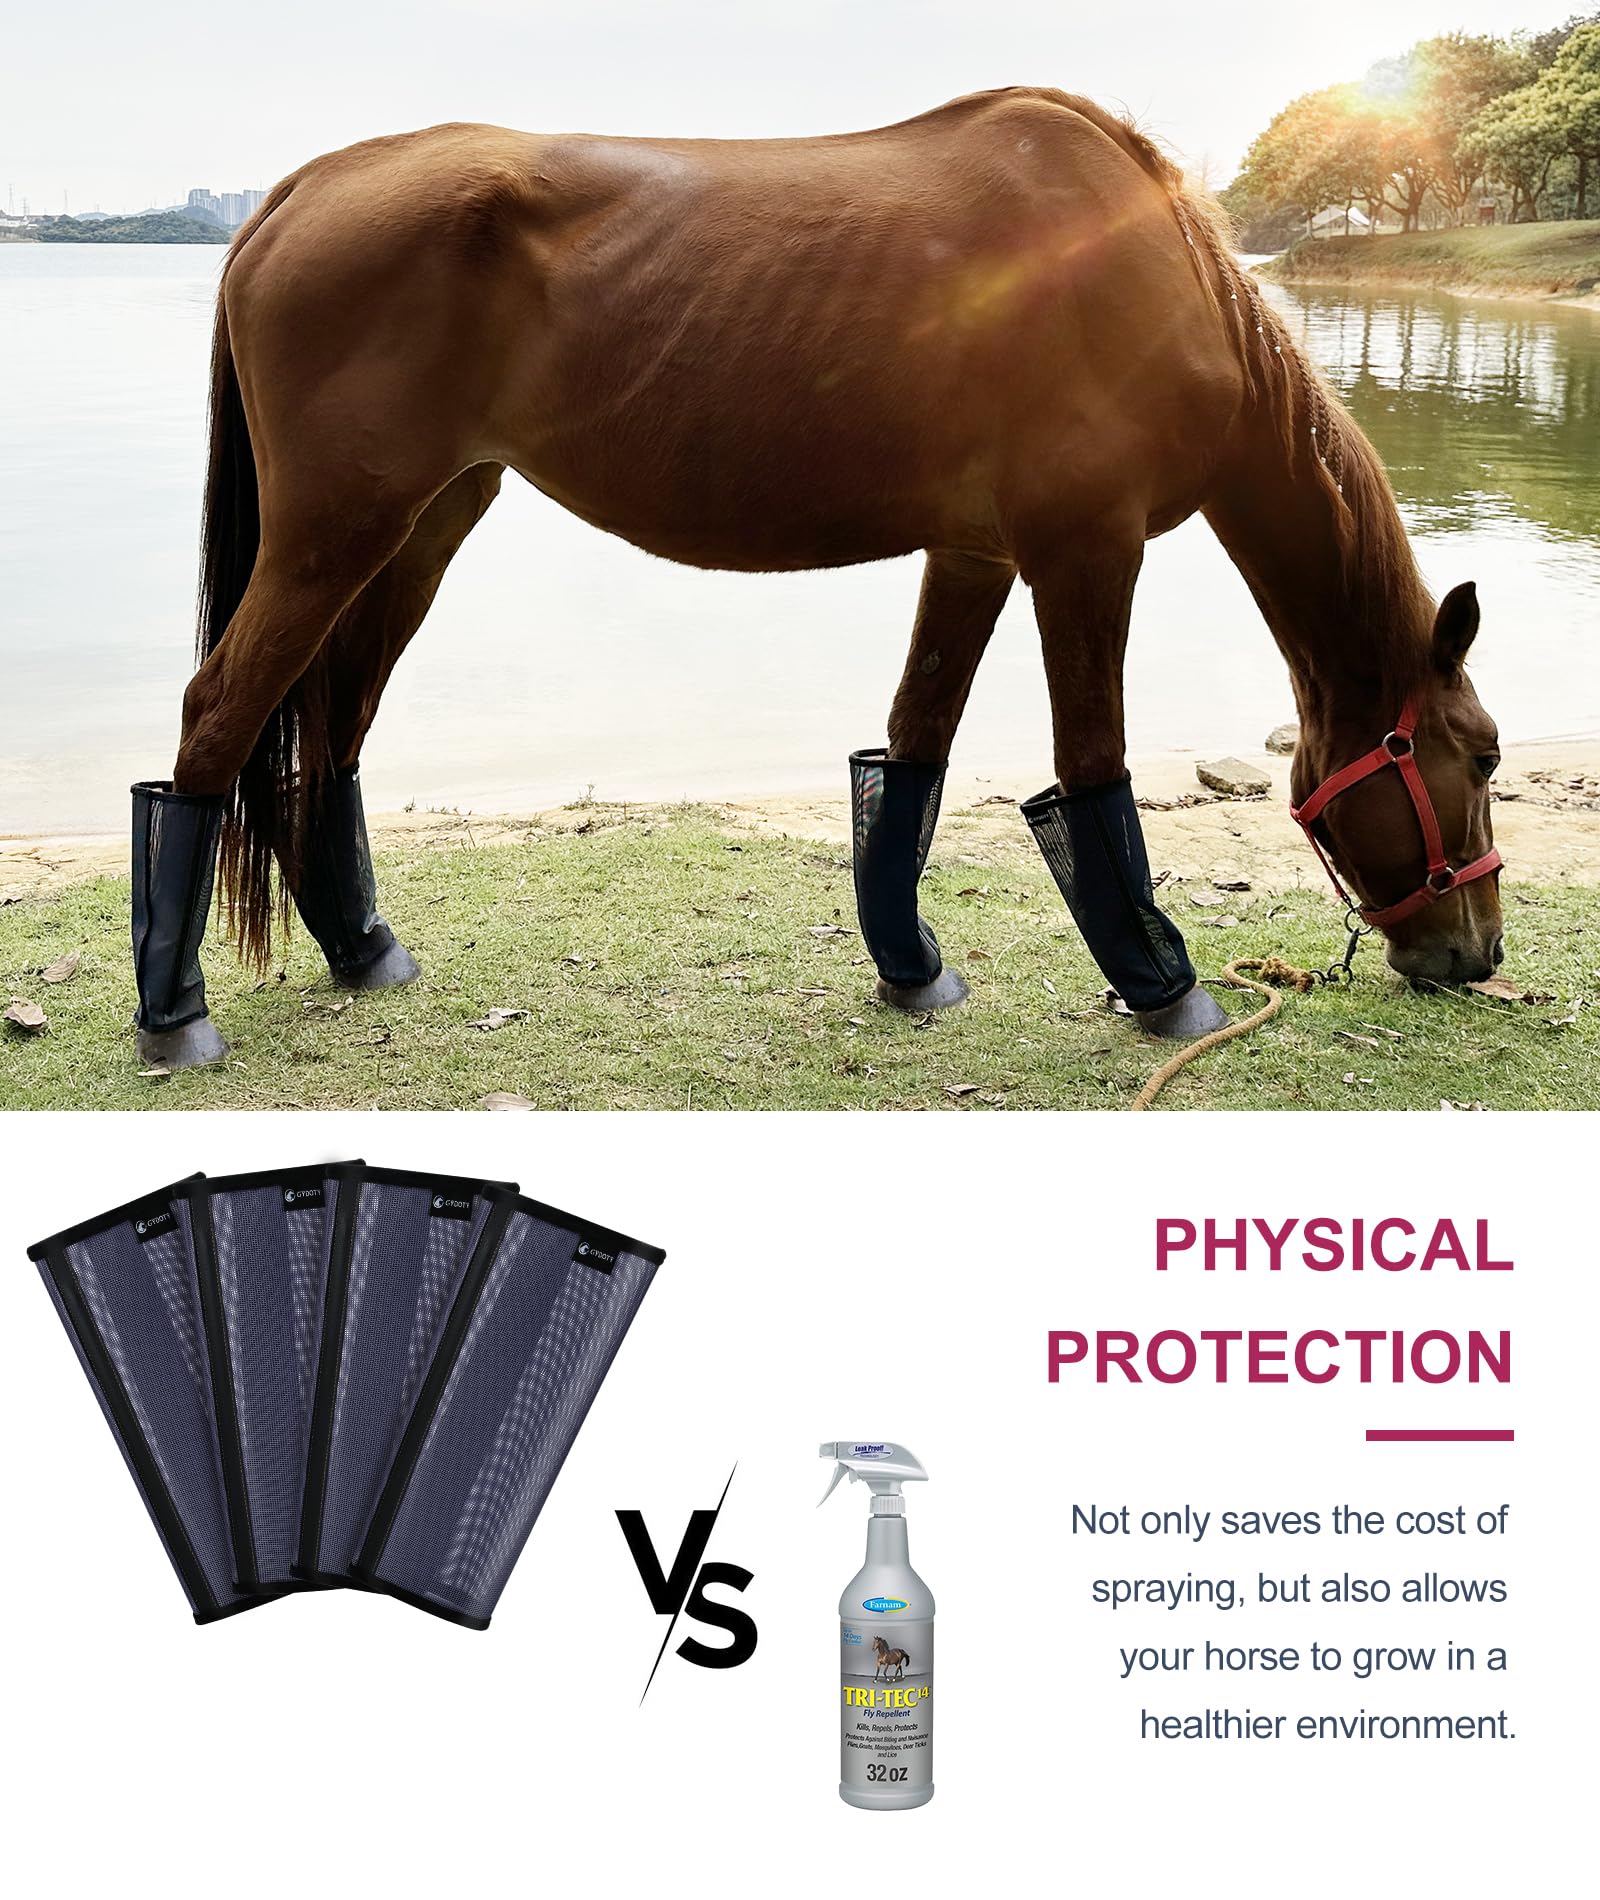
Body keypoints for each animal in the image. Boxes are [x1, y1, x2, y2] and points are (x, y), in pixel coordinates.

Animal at [128, 86, 1504, 1070]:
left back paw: (362, 949)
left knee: (329, 728)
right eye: (1479, 755)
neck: (1151, 269)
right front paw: (1161, 984)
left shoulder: (976, 555)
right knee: (217, 716)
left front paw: (913, 970)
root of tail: (297, 192)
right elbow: (1091, 766)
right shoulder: (1084, 552)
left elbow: (914, 750)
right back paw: (175, 1016)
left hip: (416, 528)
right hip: (336, 535)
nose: (1476, 954)